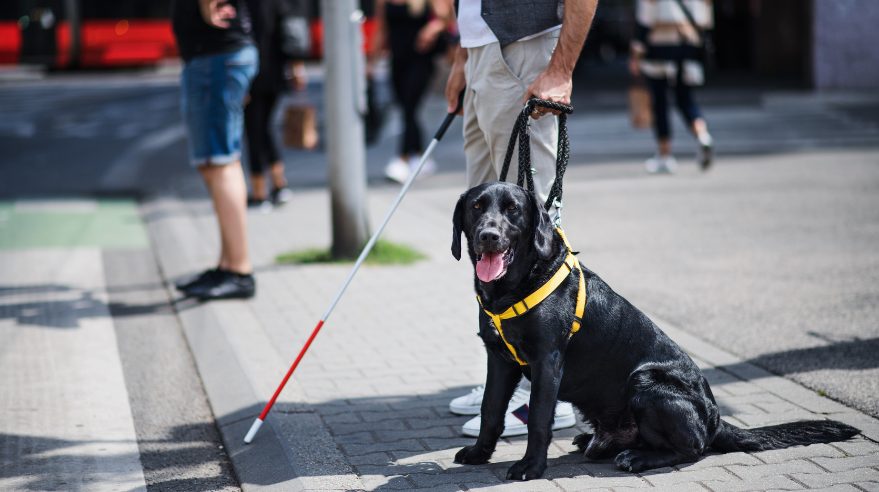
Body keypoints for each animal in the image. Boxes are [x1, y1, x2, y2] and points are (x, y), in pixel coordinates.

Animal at [454, 182, 860, 480]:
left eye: (512, 209)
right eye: (476, 207)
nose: (488, 236)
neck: (513, 288)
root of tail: (715, 419)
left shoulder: (547, 361)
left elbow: (538, 418)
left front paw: (530, 467)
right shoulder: (499, 359)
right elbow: (491, 409)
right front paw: (479, 453)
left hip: (646, 382)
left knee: (693, 449)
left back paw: (638, 457)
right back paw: (596, 442)